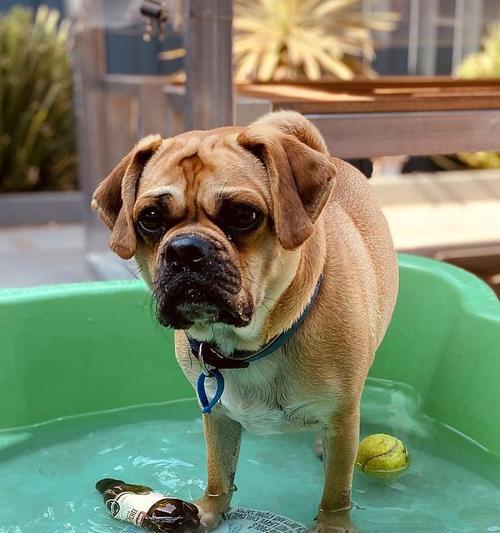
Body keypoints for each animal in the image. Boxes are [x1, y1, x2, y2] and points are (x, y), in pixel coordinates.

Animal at [92, 110, 396, 528]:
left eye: (243, 214)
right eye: (150, 218)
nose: (184, 249)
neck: (247, 346)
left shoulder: (341, 418)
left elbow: (336, 492)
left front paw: (332, 525)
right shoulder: (217, 416)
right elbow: (219, 473)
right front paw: (207, 511)